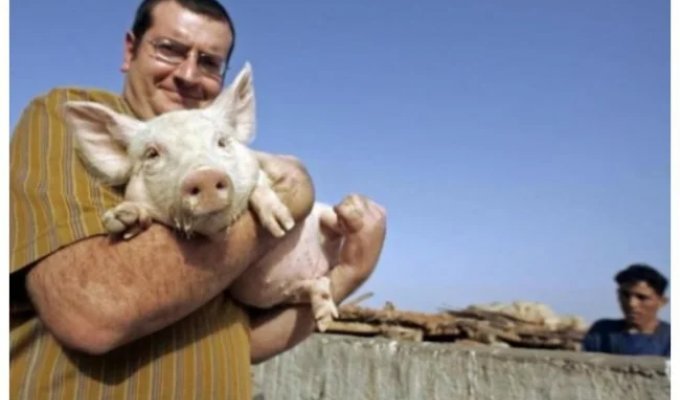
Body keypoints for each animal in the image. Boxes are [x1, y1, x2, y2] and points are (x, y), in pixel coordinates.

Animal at [63, 63, 343, 331]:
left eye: (222, 141)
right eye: (152, 153)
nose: (204, 176)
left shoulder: (259, 166)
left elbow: (260, 184)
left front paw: (280, 224)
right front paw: (122, 219)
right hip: (266, 293)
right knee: (309, 286)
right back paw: (324, 316)